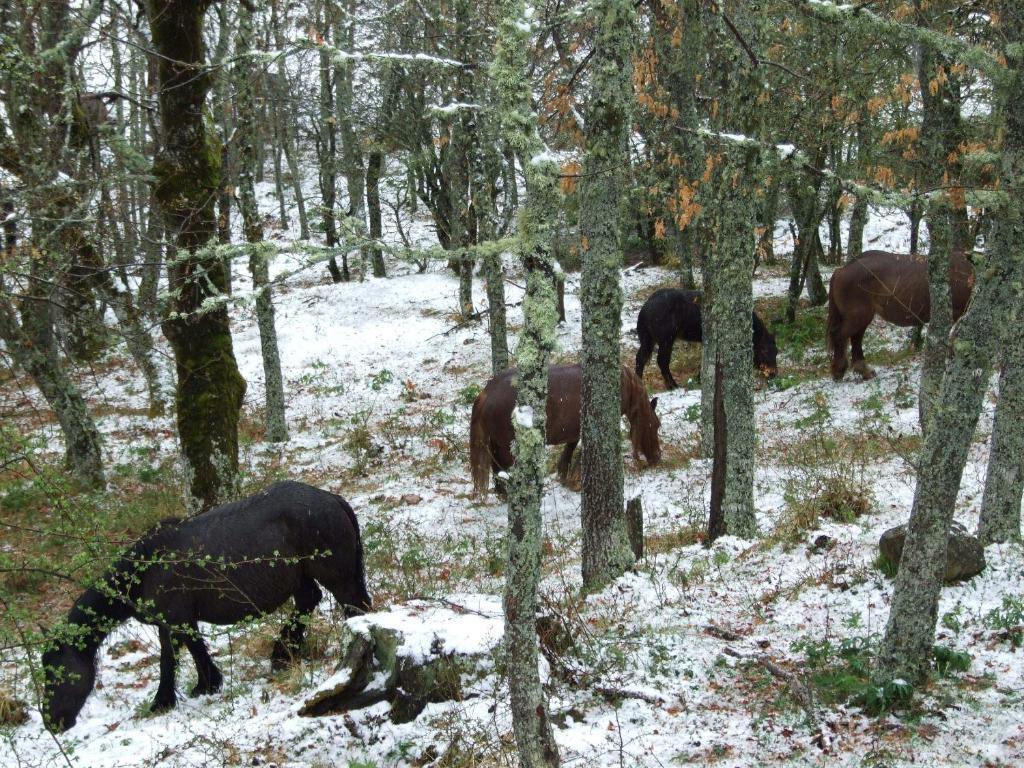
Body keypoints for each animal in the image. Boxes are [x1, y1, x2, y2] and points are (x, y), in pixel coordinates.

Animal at [43, 481, 376, 733]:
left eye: (55, 673)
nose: (52, 722)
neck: (148, 566)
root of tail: (332, 499)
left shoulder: (175, 621)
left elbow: (176, 658)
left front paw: (171, 698)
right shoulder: (178, 622)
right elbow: (188, 652)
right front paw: (199, 687)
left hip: (337, 577)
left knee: (352, 607)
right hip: (302, 579)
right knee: (309, 602)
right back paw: (283, 654)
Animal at [471, 364, 663, 495]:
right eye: (656, 425)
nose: (657, 457)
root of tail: (486, 392)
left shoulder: (574, 432)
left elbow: (569, 450)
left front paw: (564, 475)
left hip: (496, 443)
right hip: (506, 446)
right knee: (502, 468)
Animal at [630, 286, 774, 391]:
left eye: (776, 351)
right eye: (765, 350)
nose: (773, 373)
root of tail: (644, 309)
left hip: (648, 339)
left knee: (640, 359)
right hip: (666, 340)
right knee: (662, 362)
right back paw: (673, 385)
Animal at [823, 249, 974, 382]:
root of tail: (842, 269)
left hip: (861, 318)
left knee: (855, 339)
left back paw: (864, 371)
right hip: (858, 316)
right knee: (839, 336)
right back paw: (839, 370)